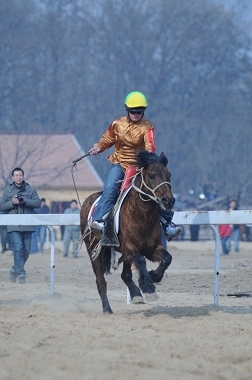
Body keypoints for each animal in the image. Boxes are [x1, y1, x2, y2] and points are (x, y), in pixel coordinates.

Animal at [80, 150, 175, 314]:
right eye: (151, 175)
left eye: (168, 174)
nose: (168, 201)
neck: (142, 215)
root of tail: (87, 201)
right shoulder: (129, 247)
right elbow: (141, 260)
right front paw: (148, 287)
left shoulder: (151, 248)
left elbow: (166, 258)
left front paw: (154, 276)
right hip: (93, 250)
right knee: (100, 281)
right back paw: (107, 309)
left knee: (125, 275)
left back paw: (136, 294)